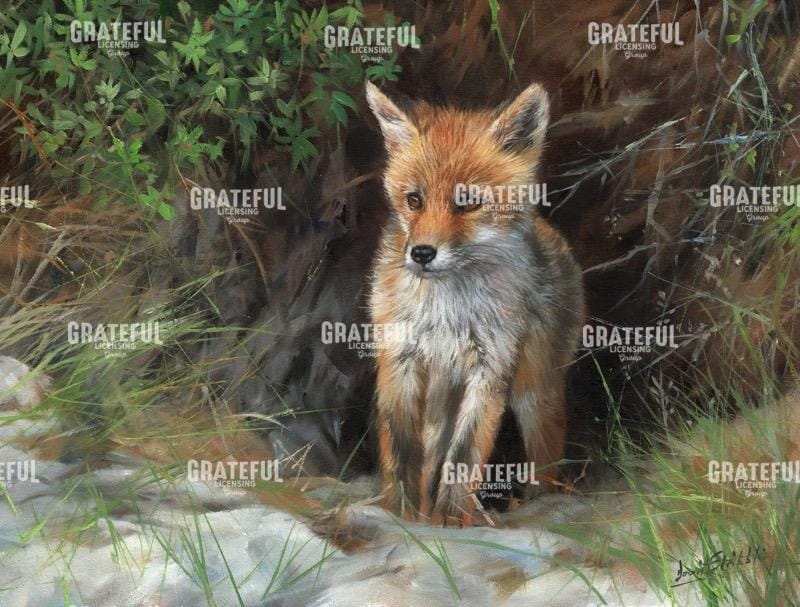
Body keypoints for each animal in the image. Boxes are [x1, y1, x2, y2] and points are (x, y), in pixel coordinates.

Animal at [365, 81, 585, 526]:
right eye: (414, 200)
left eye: (467, 202)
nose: (422, 253)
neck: (447, 309)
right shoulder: (399, 360)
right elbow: (401, 449)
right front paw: (399, 514)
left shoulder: (491, 368)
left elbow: (465, 455)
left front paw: (450, 520)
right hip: (439, 400)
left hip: (535, 391)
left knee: (546, 460)